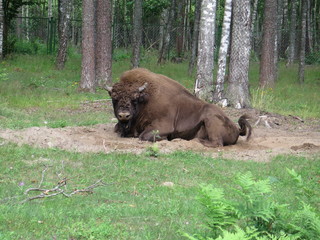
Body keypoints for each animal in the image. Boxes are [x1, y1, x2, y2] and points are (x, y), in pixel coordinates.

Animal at [106, 66, 251, 147]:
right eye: (114, 98)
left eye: (134, 100)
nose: (123, 115)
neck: (146, 99)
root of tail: (237, 128)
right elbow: (116, 128)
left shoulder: (162, 126)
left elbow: (143, 136)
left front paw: (164, 139)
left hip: (211, 118)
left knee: (217, 143)